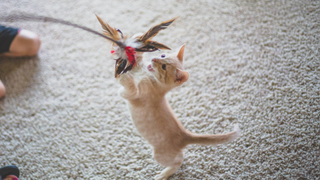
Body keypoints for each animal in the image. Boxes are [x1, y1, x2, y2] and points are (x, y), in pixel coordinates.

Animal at [118, 44, 240, 179]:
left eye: (163, 67)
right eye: (163, 55)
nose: (154, 59)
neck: (150, 77)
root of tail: (184, 135)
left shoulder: (134, 95)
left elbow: (130, 89)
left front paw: (125, 77)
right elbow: (137, 62)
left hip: (160, 154)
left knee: (179, 161)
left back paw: (165, 173)